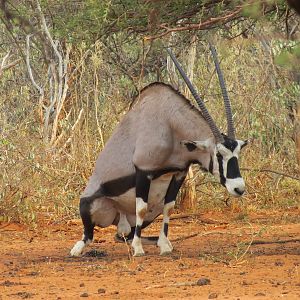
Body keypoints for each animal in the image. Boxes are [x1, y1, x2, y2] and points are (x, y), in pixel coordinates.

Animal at [71, 45, 248, 256]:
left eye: (237, 153)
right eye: (219, 154)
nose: (239, 188)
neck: (170, 123)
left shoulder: (179, 173)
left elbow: (169, 207)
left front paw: (164, 245)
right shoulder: (143, 171)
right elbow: (141, 207)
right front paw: (138, 249)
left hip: (147, 214)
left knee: (122, 235)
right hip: (90, 204)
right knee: (90, 235)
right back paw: (79, 248)